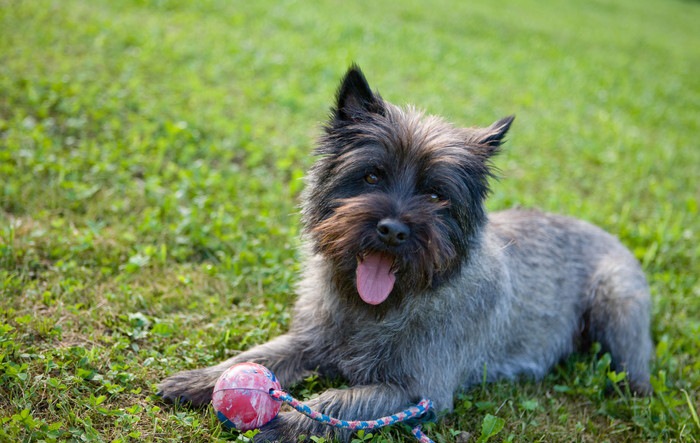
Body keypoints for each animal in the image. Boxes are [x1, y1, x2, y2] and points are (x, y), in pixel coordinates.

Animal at [156, 64, 652, 442]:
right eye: (372, 176)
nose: (393, 230)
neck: (377, 310)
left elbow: (339, 402)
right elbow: (262, 355)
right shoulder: (310, 339)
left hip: (615, 306)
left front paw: (285, 421)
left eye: (435, 195)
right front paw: (203, 380)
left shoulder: (416, 391)